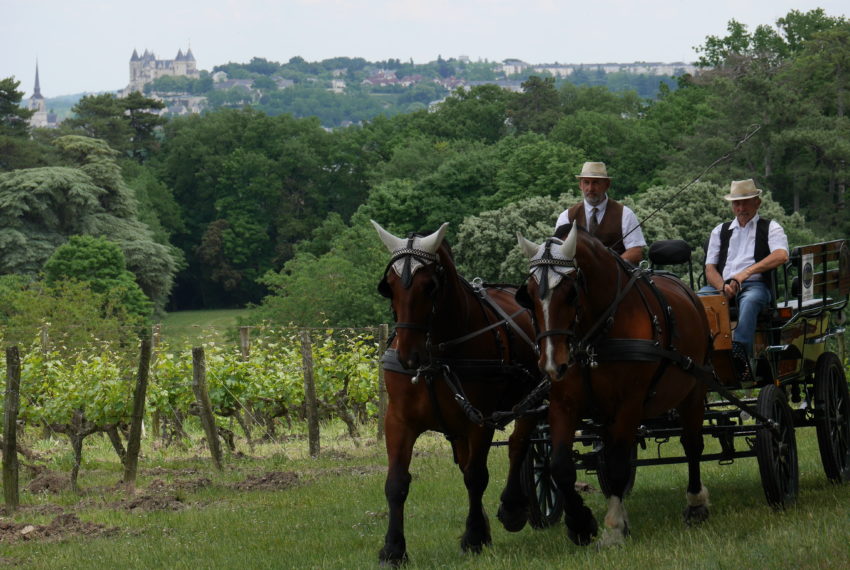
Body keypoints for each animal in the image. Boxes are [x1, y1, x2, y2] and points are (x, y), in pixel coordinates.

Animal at [372, 220, 544, 560]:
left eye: (430, 287)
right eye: (390, 286)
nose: (407, 357)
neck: (436, 356)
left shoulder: (480, 420)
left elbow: (476, 477)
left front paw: (474, 537)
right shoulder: (398, 421)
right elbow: (396, 482)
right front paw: (393, 548)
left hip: (532, 399)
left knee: (518, 444)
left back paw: (513, 507)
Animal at [512, 223, 712, 544]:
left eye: (570, 293)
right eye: (528, 295)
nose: (553, 364)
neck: (595, 337)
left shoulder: (629, 403)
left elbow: (618, 463)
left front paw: (615, 527)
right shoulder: (564, 403)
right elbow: (559, 465)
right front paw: (580, 523)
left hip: (693, 391)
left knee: (692, 444)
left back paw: (695, 504)